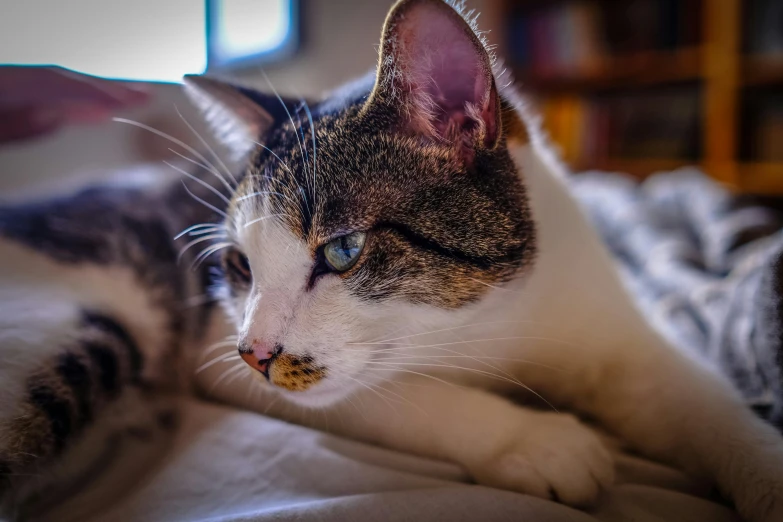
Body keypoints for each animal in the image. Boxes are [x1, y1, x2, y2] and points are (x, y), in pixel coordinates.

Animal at [1, 0, 783, 516]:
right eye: (241, 268)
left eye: (343, 250)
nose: (255, 352)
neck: (489, 322)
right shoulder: (217, 358)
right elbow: (406, 396)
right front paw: (541, 442)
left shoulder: (617, 334)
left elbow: (705, 404)